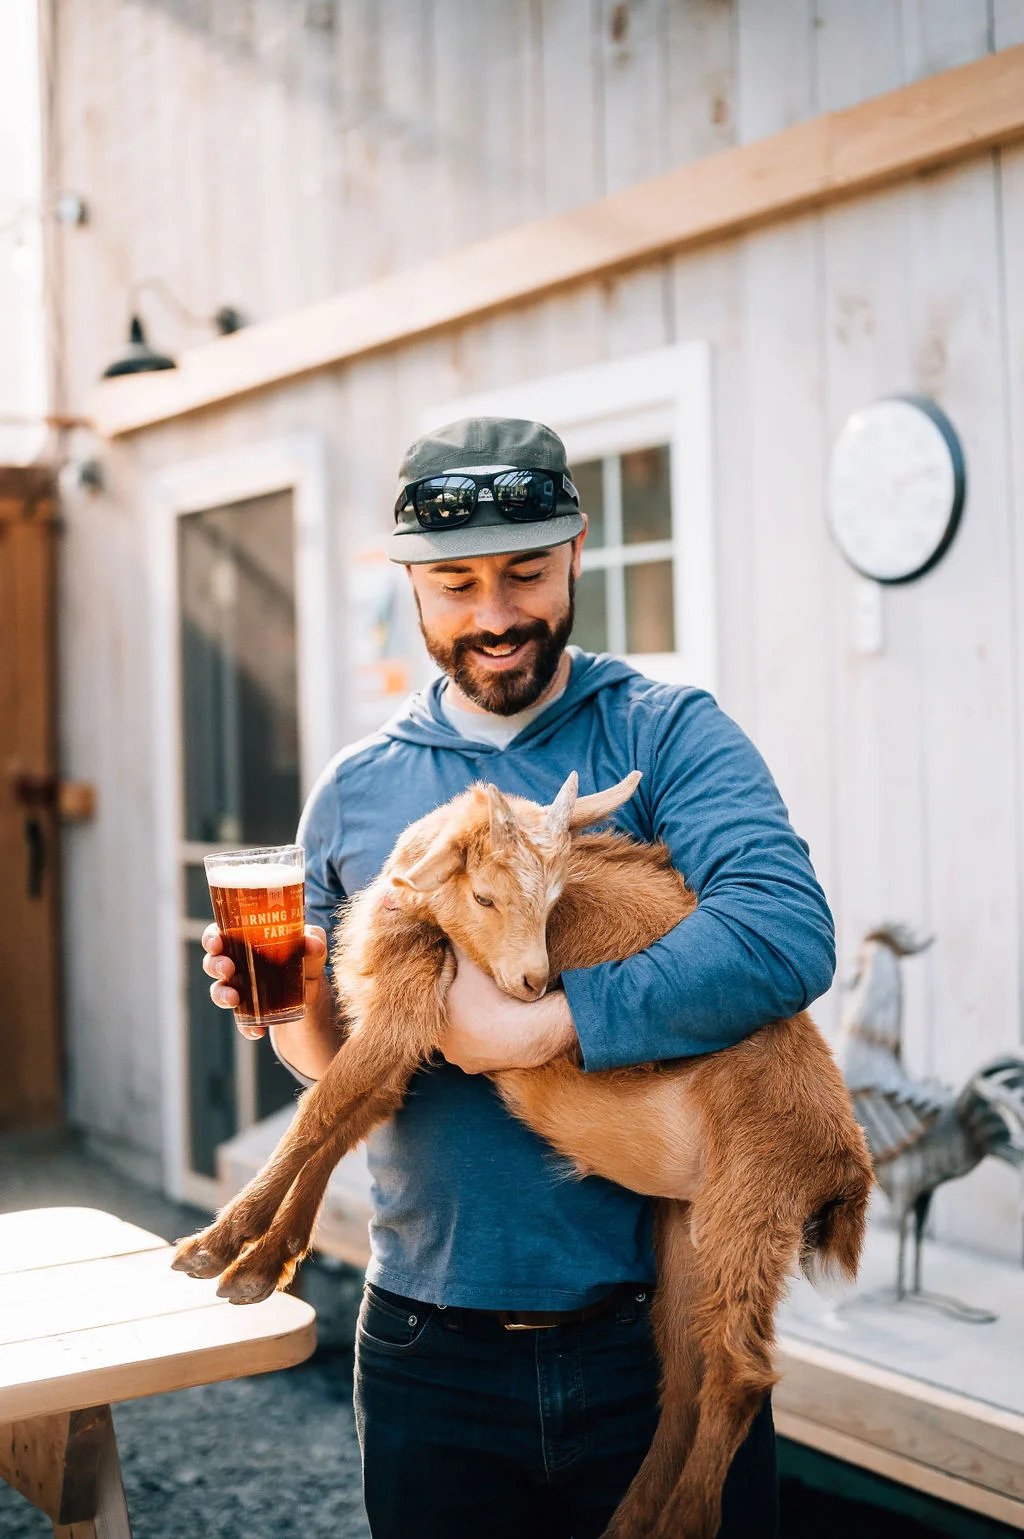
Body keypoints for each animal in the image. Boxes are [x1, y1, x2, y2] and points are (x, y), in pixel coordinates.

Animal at [174, 775, 868, 1539]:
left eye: (555, 899)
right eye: (484, 896)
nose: (535, 982)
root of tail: (847, 1165)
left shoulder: (409, 1009)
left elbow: (317, 1115)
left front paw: (212, 1246)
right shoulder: (404, 1040)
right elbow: (336, 1126)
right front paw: (258, 1265)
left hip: (753, 1196)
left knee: (739, 1375)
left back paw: (684, 1520)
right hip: (693, 1229)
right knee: (686, 1375)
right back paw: (630, 1521)